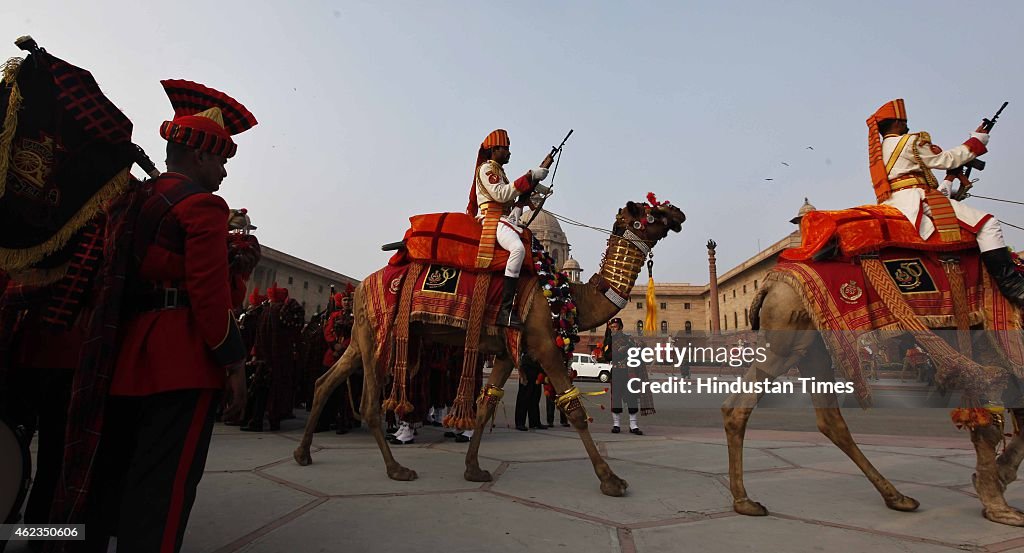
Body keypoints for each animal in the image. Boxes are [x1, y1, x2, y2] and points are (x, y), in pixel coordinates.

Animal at [292, 200, 684, 495]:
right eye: (650, 211)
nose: (678, 213)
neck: (563, 293)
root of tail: (360, 286)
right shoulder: (543, 343)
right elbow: (573, 409)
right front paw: (611, 480)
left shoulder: (507, 350)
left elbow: (486, 404)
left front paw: (473, 469)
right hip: (380, 332)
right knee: (369, 403)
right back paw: (396, 469)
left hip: (362, 333)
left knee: (325, 382)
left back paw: (303, 453)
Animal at [724, 276, 1024, 528]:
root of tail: (769, 285)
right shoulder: (991, 347)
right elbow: (991, 422)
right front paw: (998, 503)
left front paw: (998, 483)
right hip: (789, 335)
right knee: (741, 405)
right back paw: (744, 502)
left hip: (810, 345)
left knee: (826, 419)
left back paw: (896, 497)